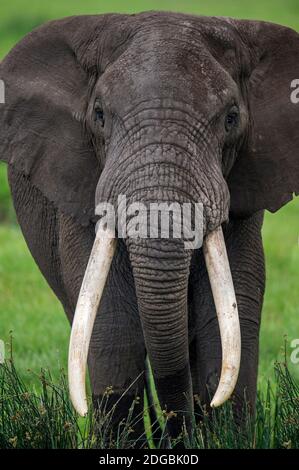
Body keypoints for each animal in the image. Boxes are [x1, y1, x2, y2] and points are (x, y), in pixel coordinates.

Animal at [0, 11, 299, 442]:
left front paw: (223, 433)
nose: (180, 432)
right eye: (99, 115)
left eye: (231, 119)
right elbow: (114, 328)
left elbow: (227, 323)